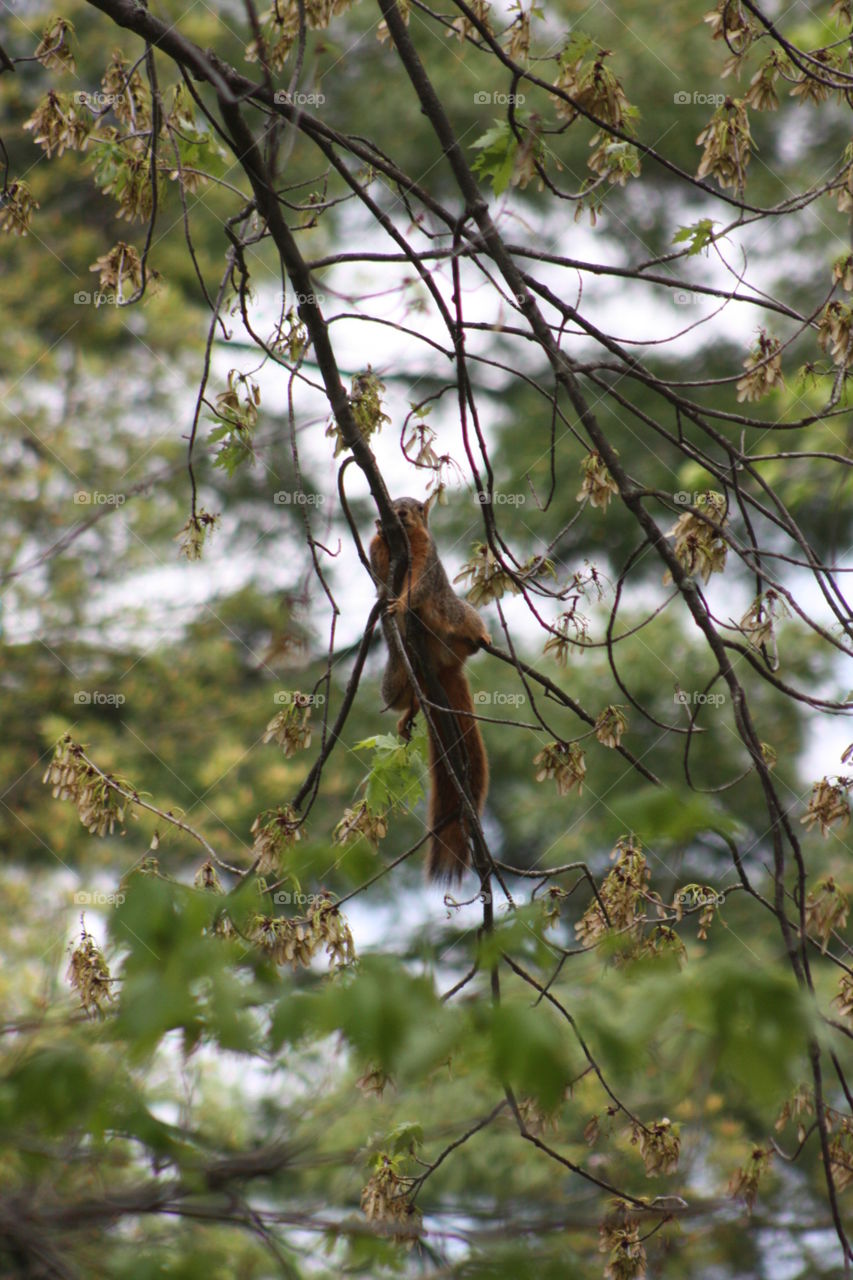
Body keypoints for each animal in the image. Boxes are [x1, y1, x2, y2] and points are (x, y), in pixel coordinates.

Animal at [369, 497, 491, 881]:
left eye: (417, 507)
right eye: (394, 504)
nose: (399, 514)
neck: (403, 542)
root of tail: (443, 668)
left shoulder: (426, 557)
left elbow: (418, 585)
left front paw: (401, 603)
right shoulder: (378, 555)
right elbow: (380, 576)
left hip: (455, 613)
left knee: (467, 623)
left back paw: (482, 636)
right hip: (397, 677)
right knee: (408, 699)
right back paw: (407, 714)